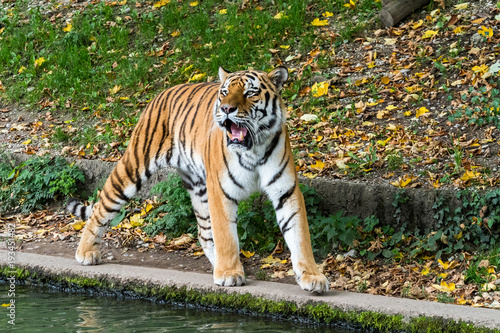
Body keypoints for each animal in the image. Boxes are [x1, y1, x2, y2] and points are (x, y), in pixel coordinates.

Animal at [68, 66, 330, 292]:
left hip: (199, 187)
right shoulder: (221, 190)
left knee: (204, 233)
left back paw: (218, 265)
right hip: (134, 166)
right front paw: (230, 274)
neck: (253, 149)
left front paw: (312, 276)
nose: (226, 109)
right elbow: (226, 235)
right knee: (102, 206)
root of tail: (162, 91)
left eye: (250, 93)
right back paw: (85, 252)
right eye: (224, 93)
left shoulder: (286, 191)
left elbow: (299, 235)